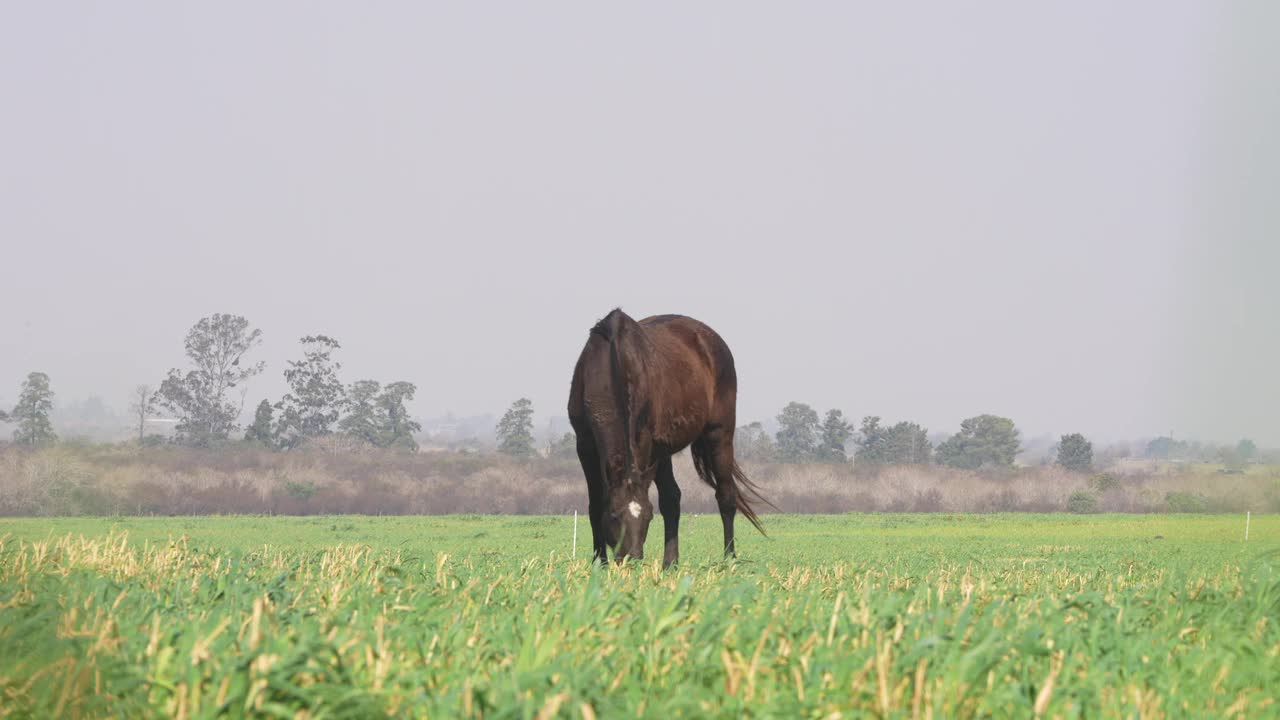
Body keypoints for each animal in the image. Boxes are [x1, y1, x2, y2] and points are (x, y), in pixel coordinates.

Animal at [568, 304, 768, 563]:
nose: (632, 559)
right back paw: (670, 563)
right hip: (663, 452)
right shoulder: (585, 445)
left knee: (725, 496)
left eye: (648, 516)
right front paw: (599, 564)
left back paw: (728, 560)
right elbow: (594, 505)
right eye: (614, 515)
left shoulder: (644, 443)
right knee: (672, 498)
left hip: (719, 434)